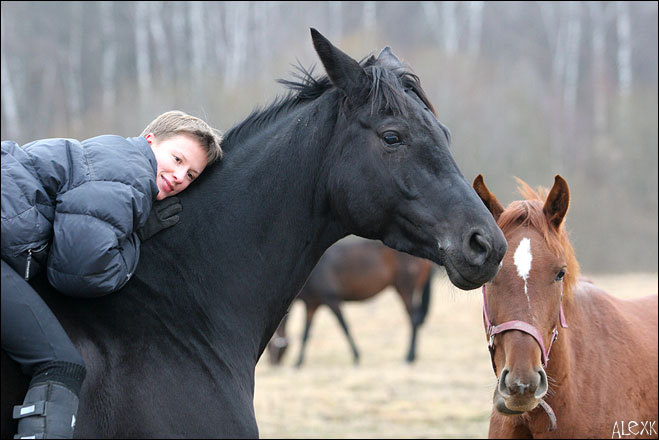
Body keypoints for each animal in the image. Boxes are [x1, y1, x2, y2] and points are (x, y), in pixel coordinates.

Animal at [266, 237, 436, 368]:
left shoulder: (332, 300)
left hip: (405, 289)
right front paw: (298, 362)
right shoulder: (312, 305)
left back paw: (409, 357)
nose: (272, 364)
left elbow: (344, 327)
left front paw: (356, 356)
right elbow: (306, 333)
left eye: (269, 346)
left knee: (413, 319)